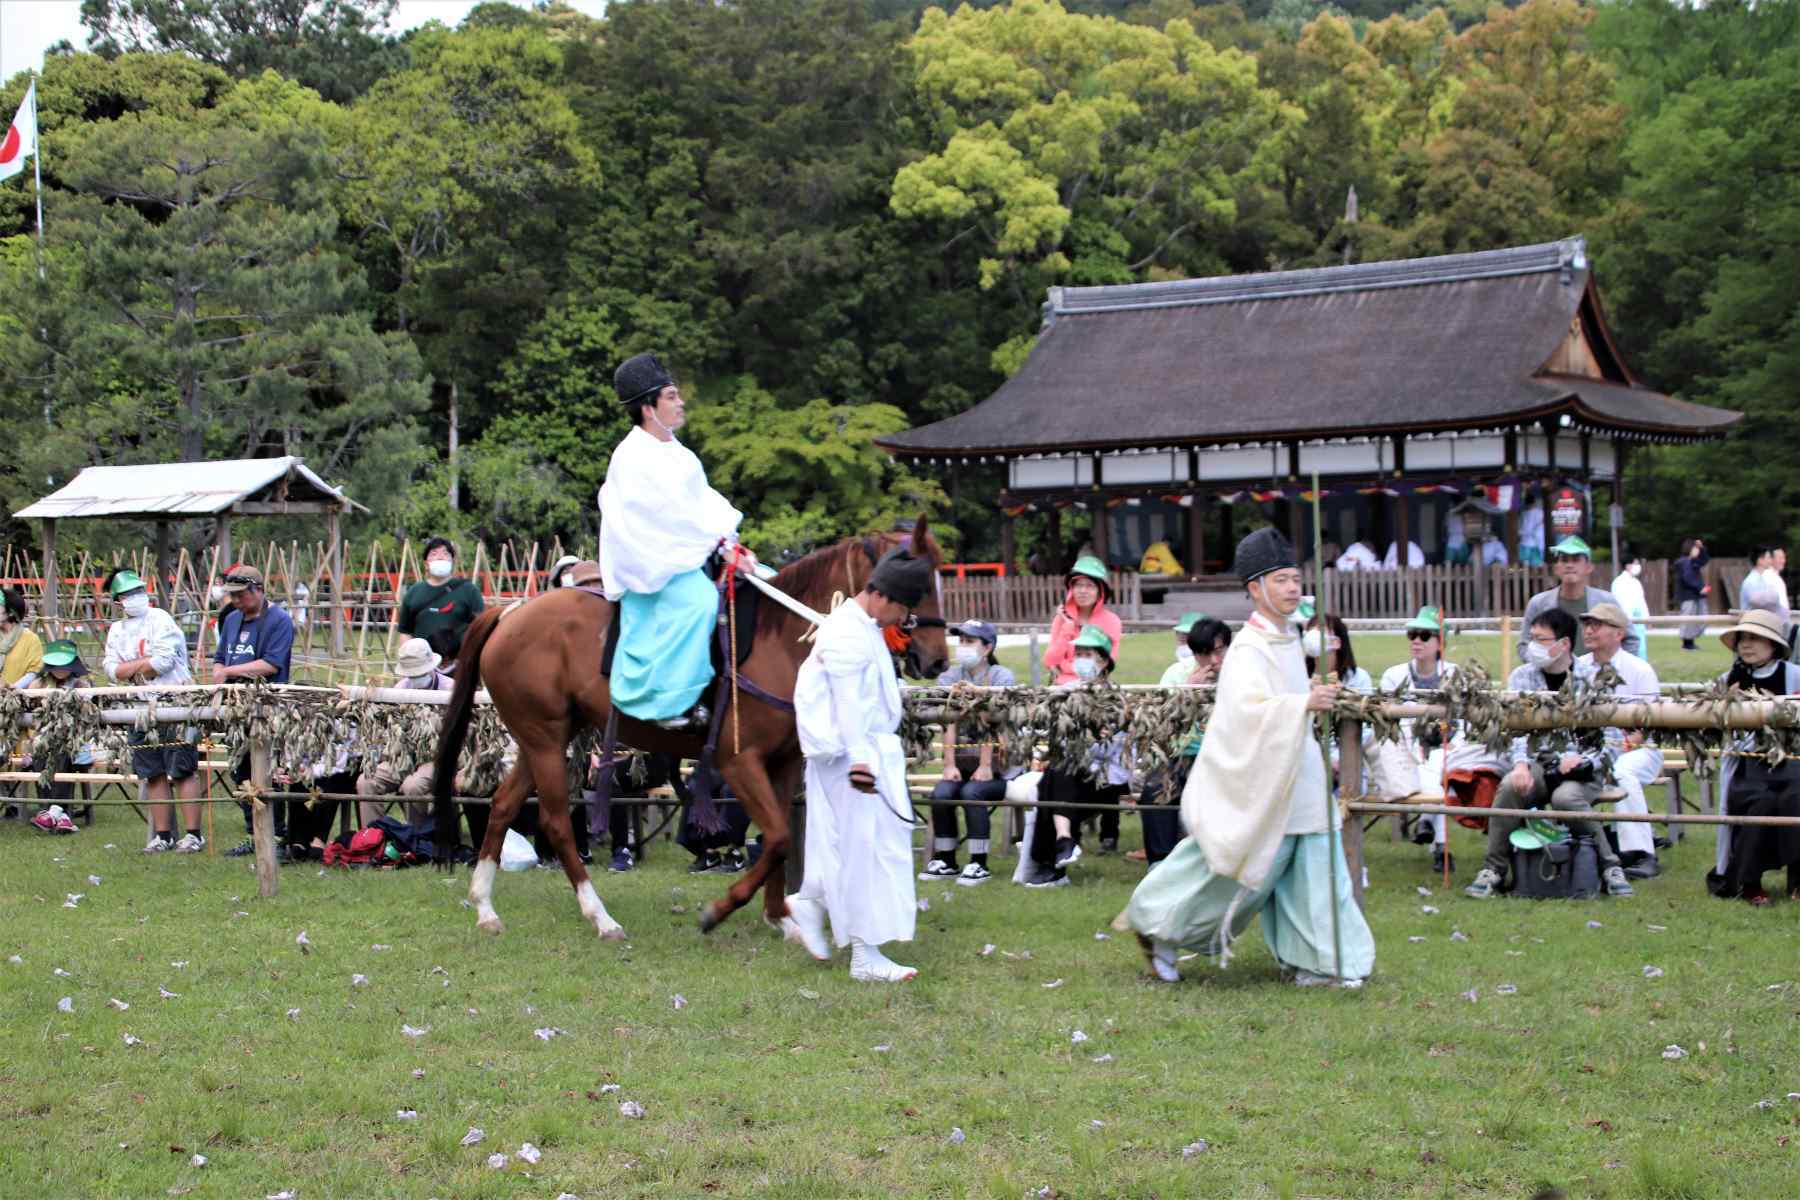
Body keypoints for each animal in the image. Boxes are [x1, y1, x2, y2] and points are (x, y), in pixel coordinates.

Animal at [428, 518, 950, 935]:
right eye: (914, 580)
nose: (936, 659)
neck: (779, 641)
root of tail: (509, 612)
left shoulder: (783, 764)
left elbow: (781, 840)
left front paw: (779, 917)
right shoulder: (740, 762)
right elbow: (779, 837)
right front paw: (720, 910)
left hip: (543, 738)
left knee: (502, 806)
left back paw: (486, 908)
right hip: (545, 738)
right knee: (556, 822)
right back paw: (601, 918)